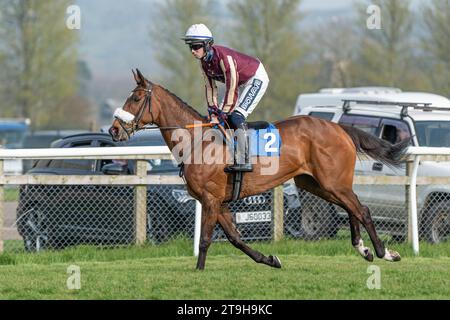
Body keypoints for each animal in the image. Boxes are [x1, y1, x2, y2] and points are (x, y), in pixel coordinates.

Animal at [110, 70, 408, 270]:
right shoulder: (220, 202)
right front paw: (270, 259)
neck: (198, 141)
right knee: (351, 208)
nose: (114, 129)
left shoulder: (210, 199)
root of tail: (338, 127)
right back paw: (363, 249)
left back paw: (384, 252)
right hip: (316, 183)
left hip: (333, 182)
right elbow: (235, 238)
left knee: (362, 209)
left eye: (135, 98)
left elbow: (205, 239)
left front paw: (198, 271)